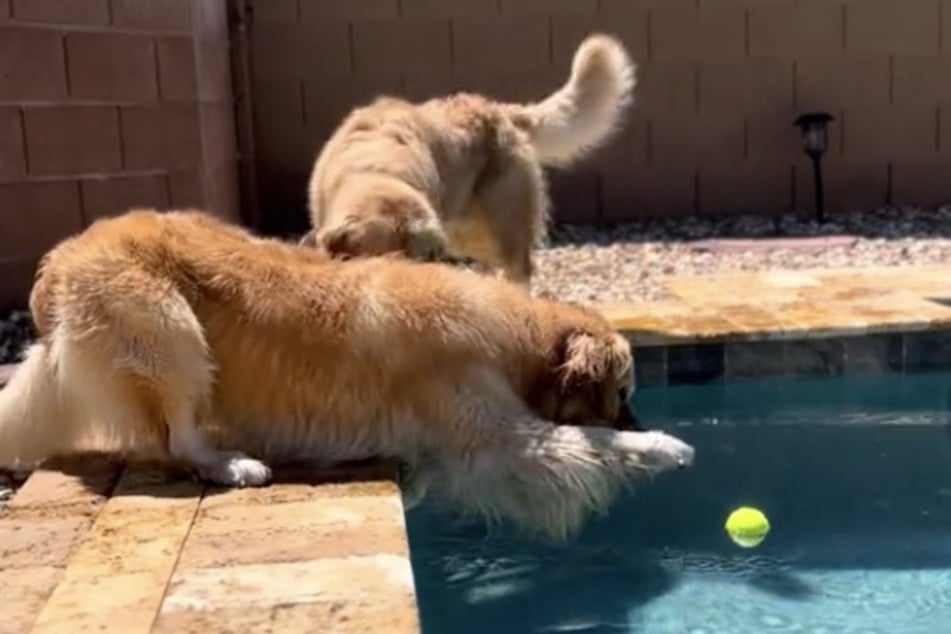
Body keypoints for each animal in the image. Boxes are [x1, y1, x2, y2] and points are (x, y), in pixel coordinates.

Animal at [0, 210, 692, 536]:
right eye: (622, 394)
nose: (644, 418)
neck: (519, 339)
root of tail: (63, 258)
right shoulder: (508, 439)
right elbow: (591, 443)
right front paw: (665, 446)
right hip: (167, 327)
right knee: (180, 437)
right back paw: (231, 464)